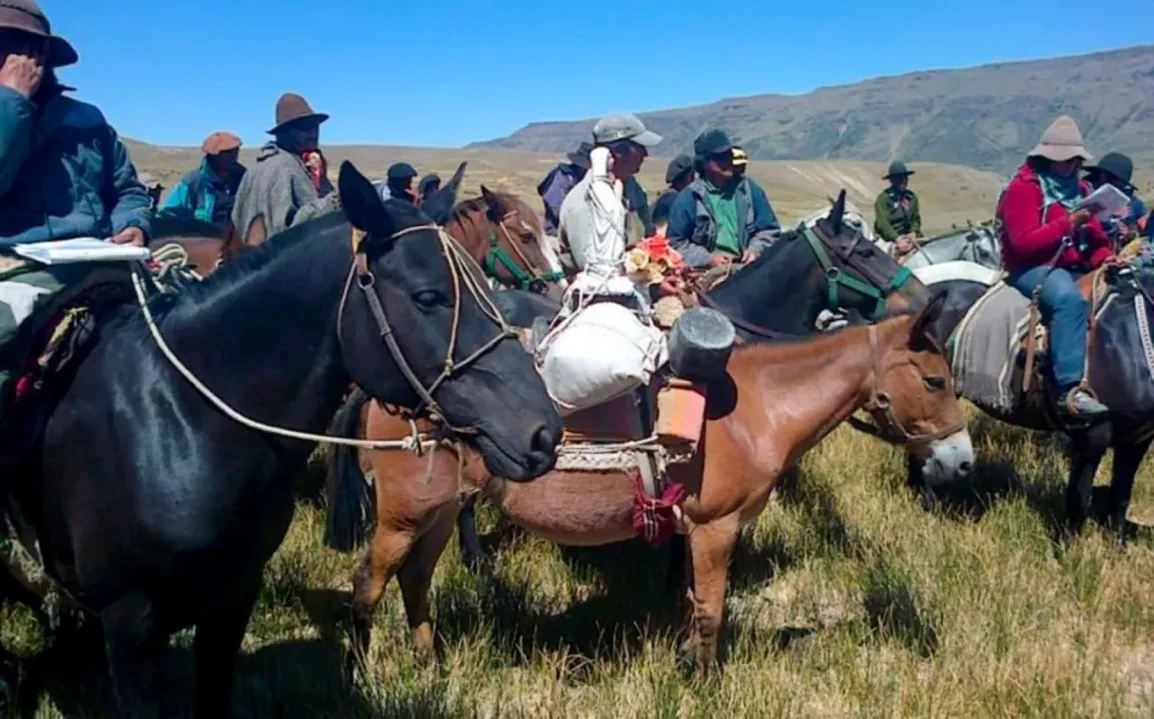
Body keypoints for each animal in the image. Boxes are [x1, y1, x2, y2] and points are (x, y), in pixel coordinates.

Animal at [323, 191, 975, 672]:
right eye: (936, 380)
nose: (961, 459)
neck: (759, 404)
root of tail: (387, 386)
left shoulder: (695, 529)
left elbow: (691, 601)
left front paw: (686, 660)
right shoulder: (716, 528)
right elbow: (710, 609)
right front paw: (703, 681)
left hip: (433, 513)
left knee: (415, 578)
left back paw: (429, 662)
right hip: (403, 516)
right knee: (368, 583)